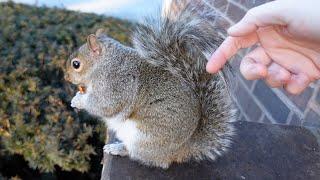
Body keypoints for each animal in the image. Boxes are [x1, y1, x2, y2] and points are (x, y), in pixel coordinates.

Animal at [64, 2, 235, 169]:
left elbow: (105, 105)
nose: (66, 77)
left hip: (143, 138)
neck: (106, 64)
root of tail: (180, 149)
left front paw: (80, 101)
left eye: (76, 64)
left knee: (147, 158)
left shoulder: (117, 84)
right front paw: (76, 97)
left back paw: (118, 148)